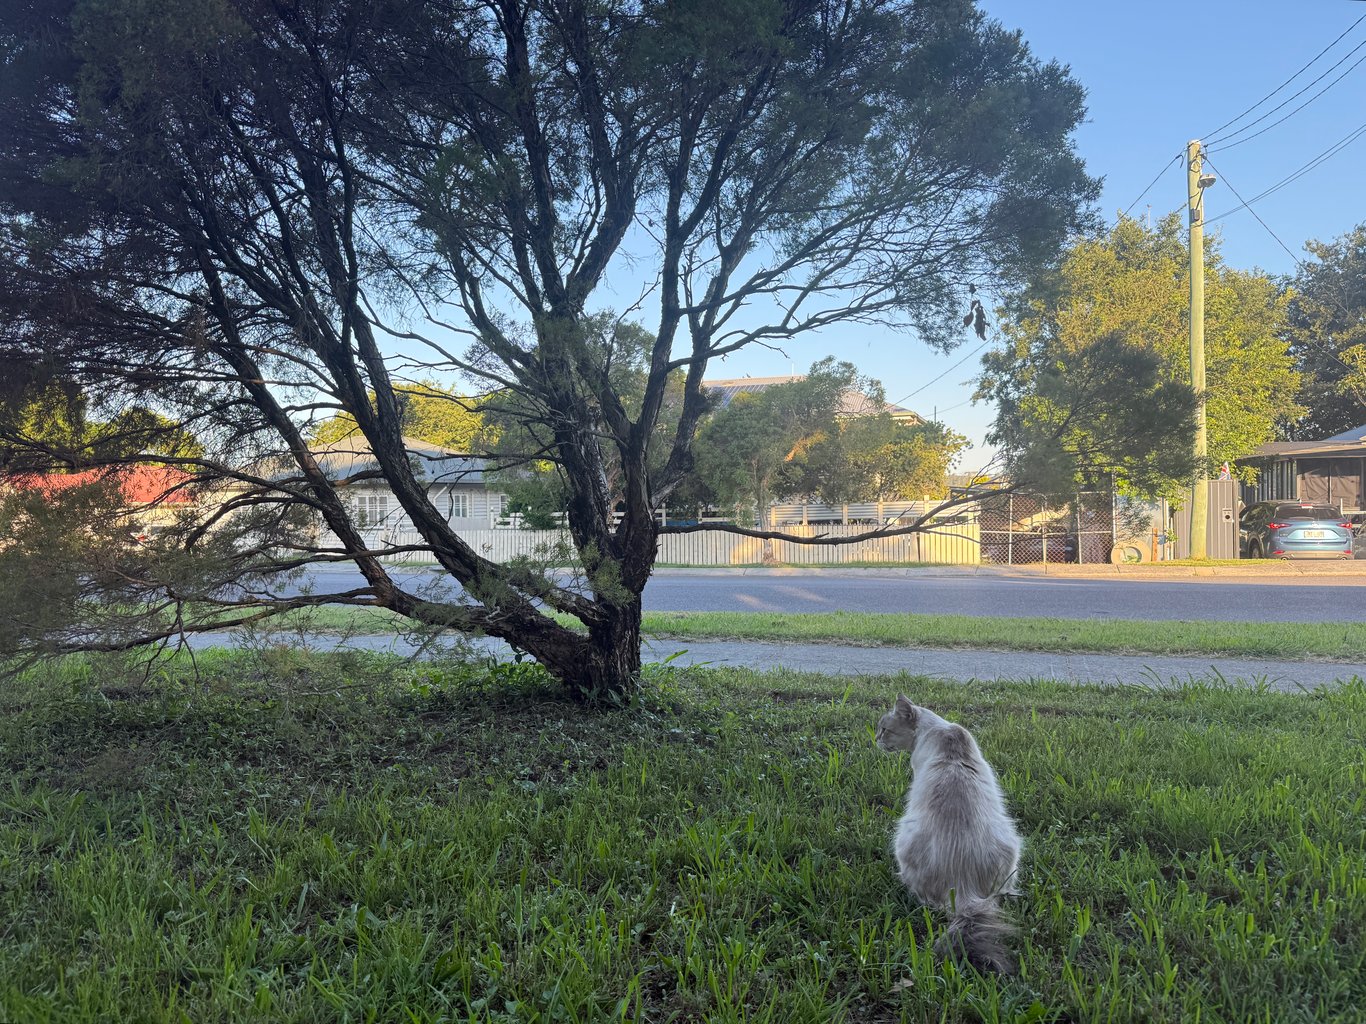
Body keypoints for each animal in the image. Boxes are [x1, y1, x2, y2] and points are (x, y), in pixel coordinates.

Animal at [875, 694, 1023, 974]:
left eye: (884, 729)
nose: (875, 739)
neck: (940, 730)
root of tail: (964, 889)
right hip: (1012, 844)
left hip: (901, 837)